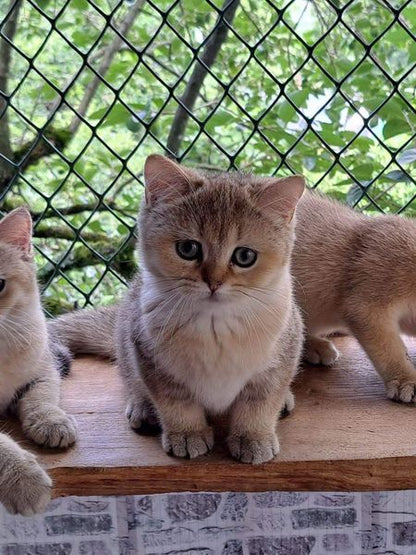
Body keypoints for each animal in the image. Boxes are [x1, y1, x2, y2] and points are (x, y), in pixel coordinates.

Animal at [51, 155, 306, 464]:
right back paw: (143, 406)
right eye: (187, 248)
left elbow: (260, 403)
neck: (215, 327)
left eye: (245, 256)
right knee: (130, 377)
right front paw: (187, 433)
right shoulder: (152, 359)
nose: (214, 282)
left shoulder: (280, 359)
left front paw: (253, 436)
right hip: (126, 338)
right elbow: (177, 402)